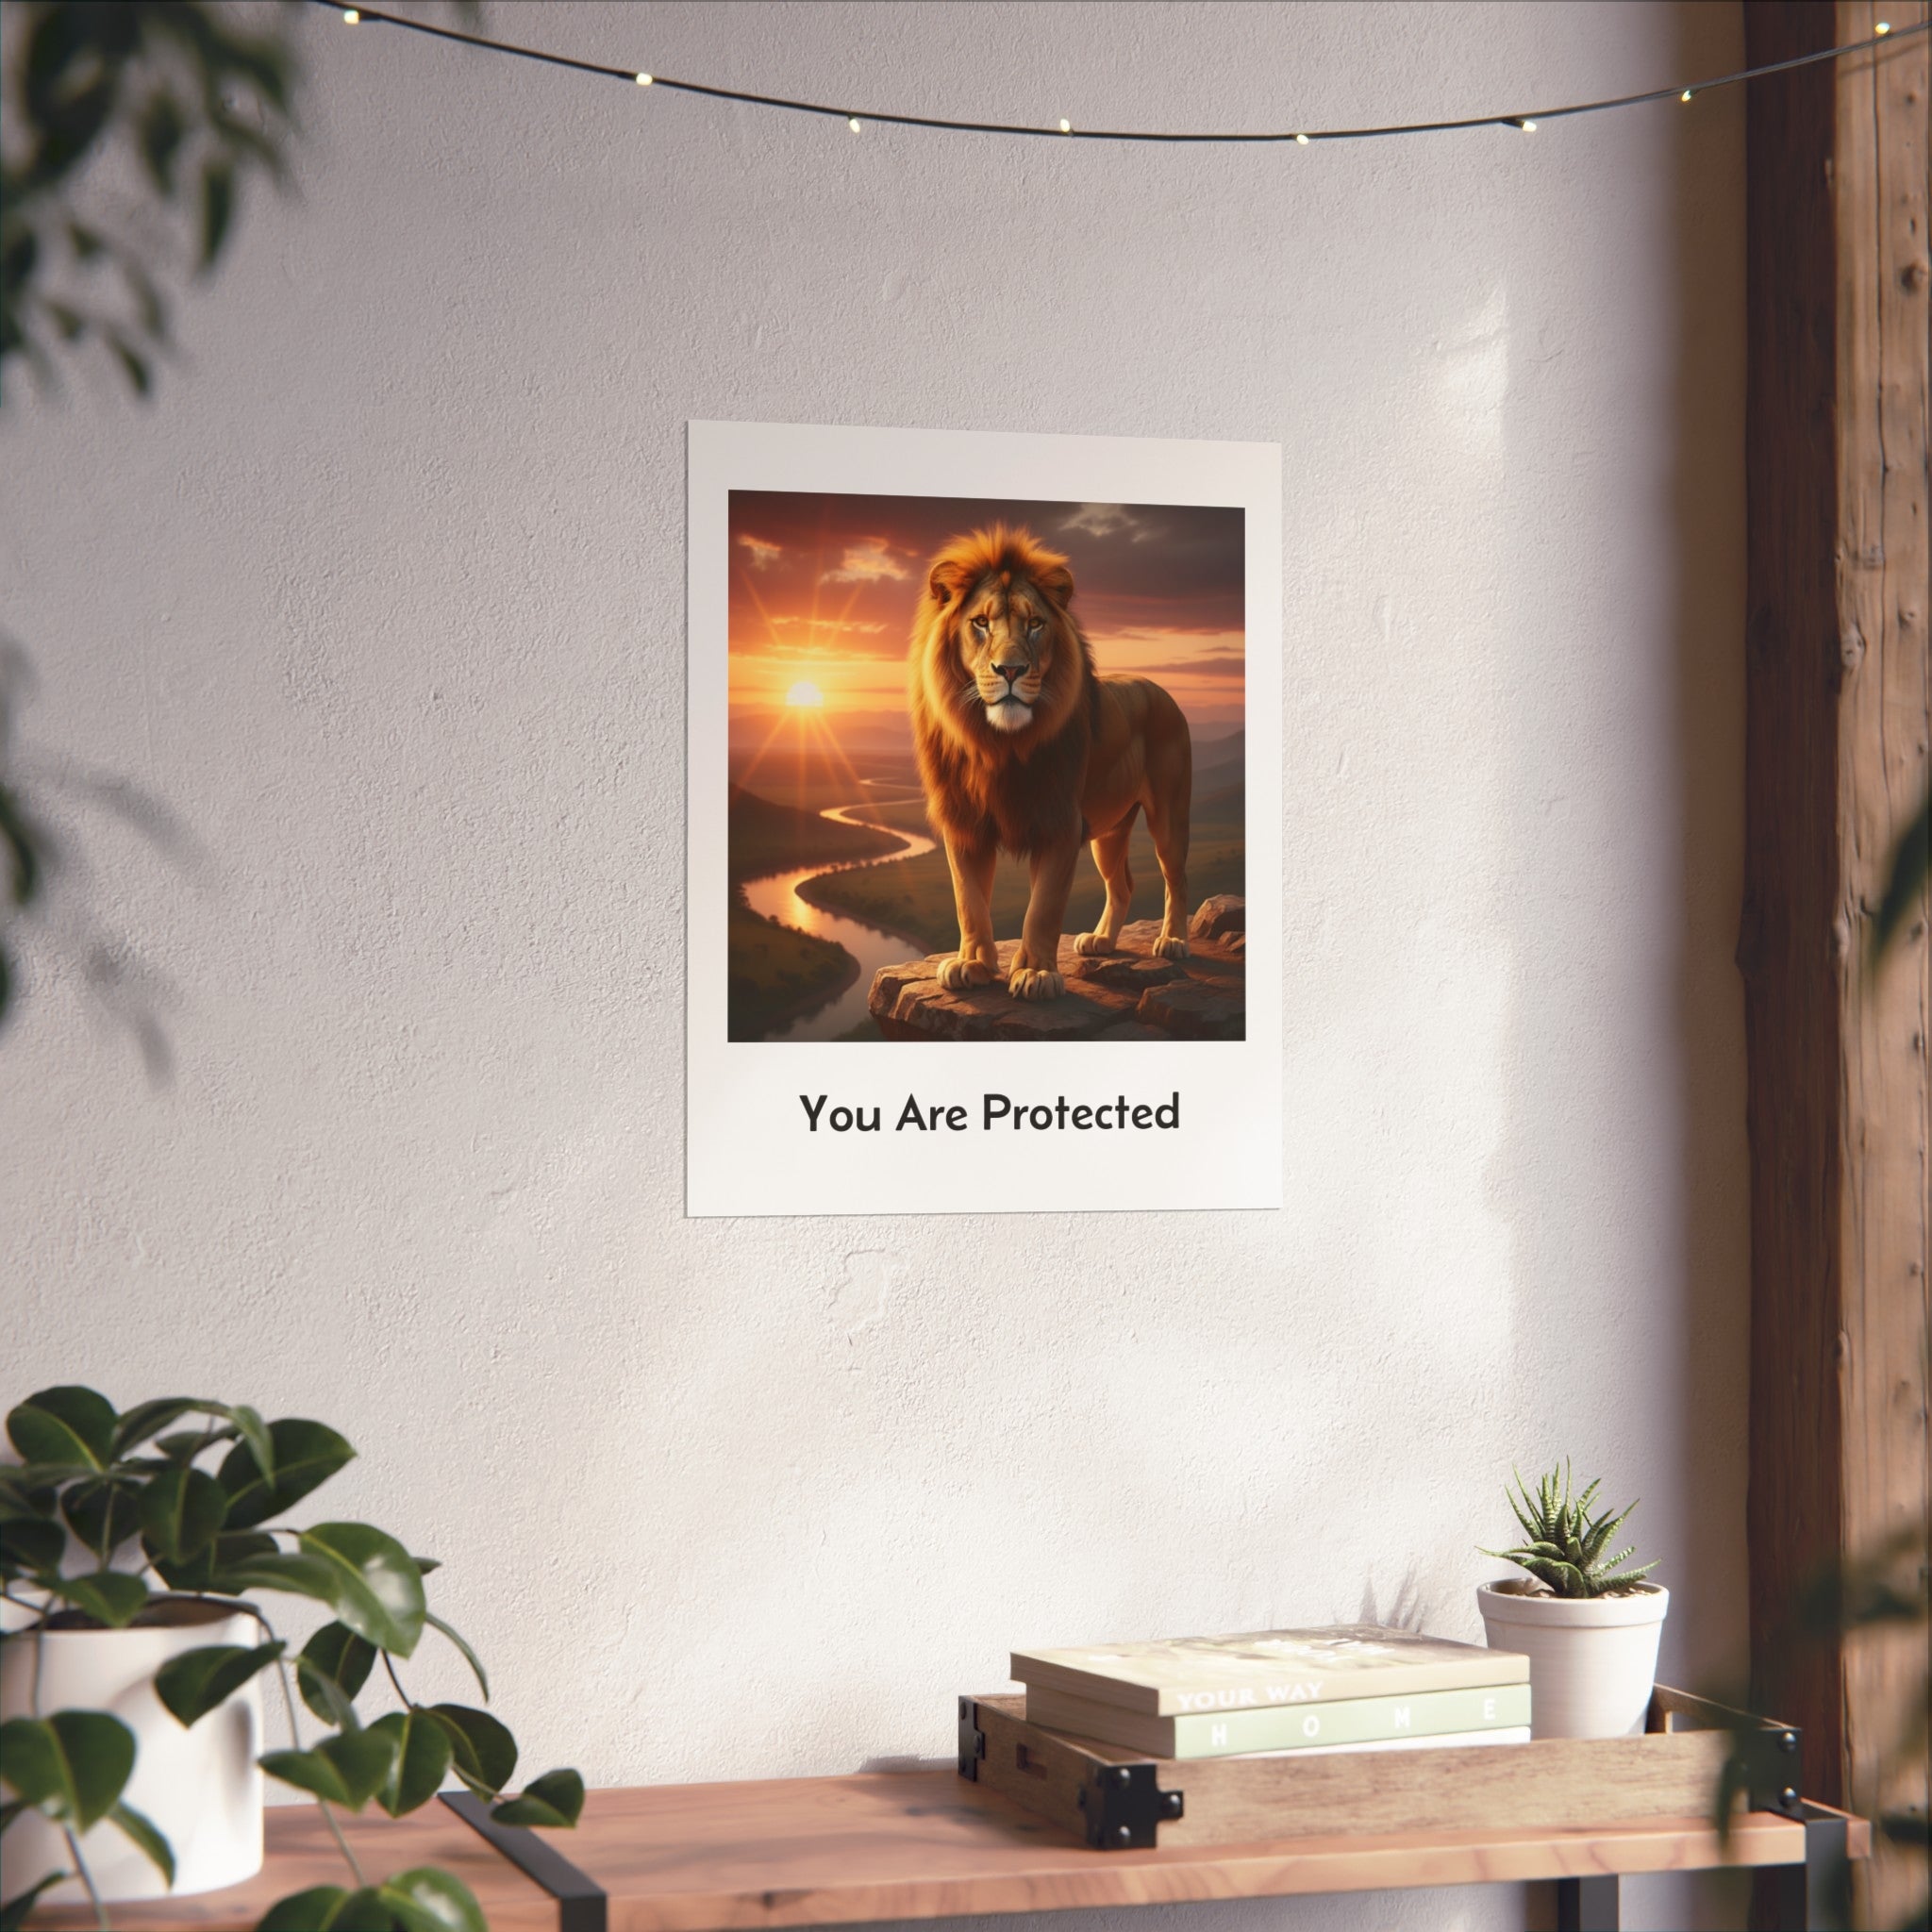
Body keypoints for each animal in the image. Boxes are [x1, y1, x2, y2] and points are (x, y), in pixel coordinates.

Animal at [907, 523, 1193, 1002]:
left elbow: (1043, 907)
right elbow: (969, 901)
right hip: (1110, 831)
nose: (1010, 670)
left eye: (1035, 624)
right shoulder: (964, 823)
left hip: (1169, 815)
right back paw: (1101, 941)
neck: (998, 745)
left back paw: (1173, 940)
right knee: (1123, 884)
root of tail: (1158, 688)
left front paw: (1036, 973)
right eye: (980, 623)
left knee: (1176, 878)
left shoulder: (1060, 822)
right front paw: (972, 964)